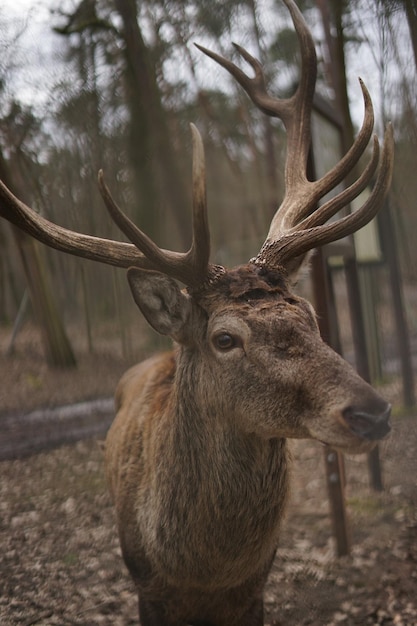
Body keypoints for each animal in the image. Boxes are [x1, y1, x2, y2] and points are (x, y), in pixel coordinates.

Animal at [0, 1, 392, 624]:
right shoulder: (145, 584)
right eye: (224, 338)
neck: (202, 571)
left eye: (309, 314)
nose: (372, 412)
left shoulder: (255, 587)